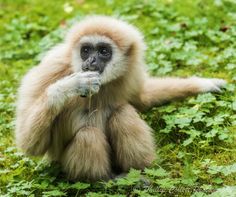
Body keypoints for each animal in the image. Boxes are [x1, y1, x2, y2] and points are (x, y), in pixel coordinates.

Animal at [14, 15, 225, 182]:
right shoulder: (52, 68)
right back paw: (101, 180)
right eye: (86, 50)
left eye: (103, 51)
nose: (90, 60)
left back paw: (139, 172)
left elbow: (142, 98)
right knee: (88, 134)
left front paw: (203, 83)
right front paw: (72, 85)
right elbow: (30, 144)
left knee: (123, 113)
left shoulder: (132, 73)